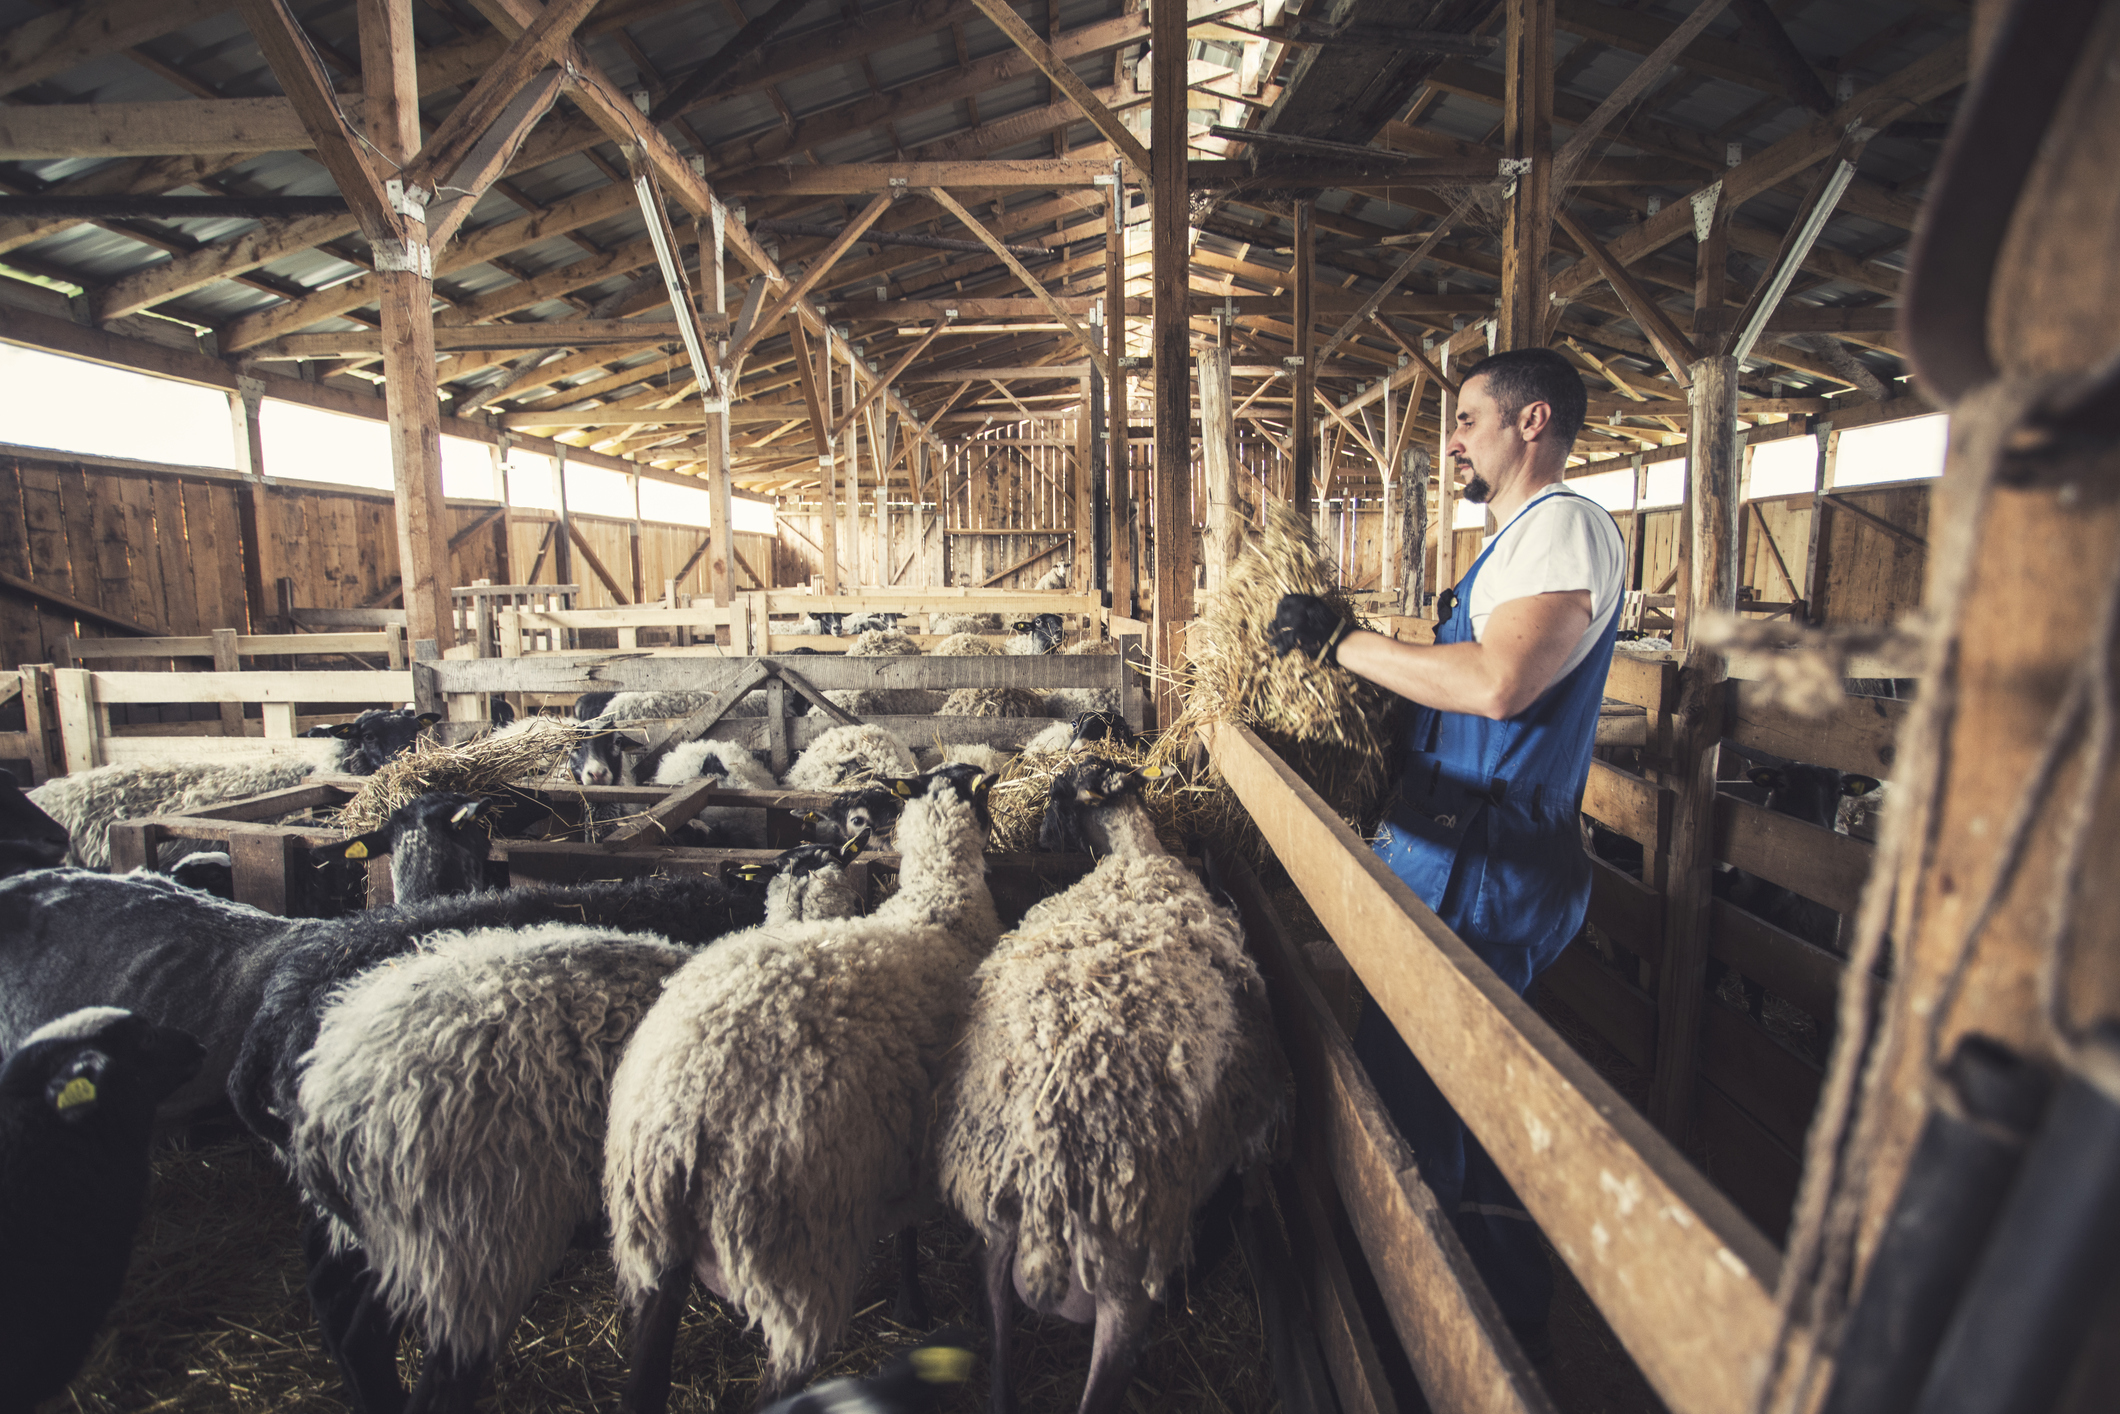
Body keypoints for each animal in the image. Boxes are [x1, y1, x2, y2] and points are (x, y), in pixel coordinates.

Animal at [602, 767, 1004, 1407]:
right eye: (983, 789)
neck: (941, 905)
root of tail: (680, 1122)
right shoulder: (918, 1134)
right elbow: (909, 1234)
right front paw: (915, 1307)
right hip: (795, 1254)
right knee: (778, 1384)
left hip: (650, 1248)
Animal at [932, 763, 1288, 1414]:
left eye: (1056, 794)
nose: (1041, 840)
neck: (1135, 854)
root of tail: (1045, 1174)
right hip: (1125, 1281)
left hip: (1007, 1241)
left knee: (1000, 1356)